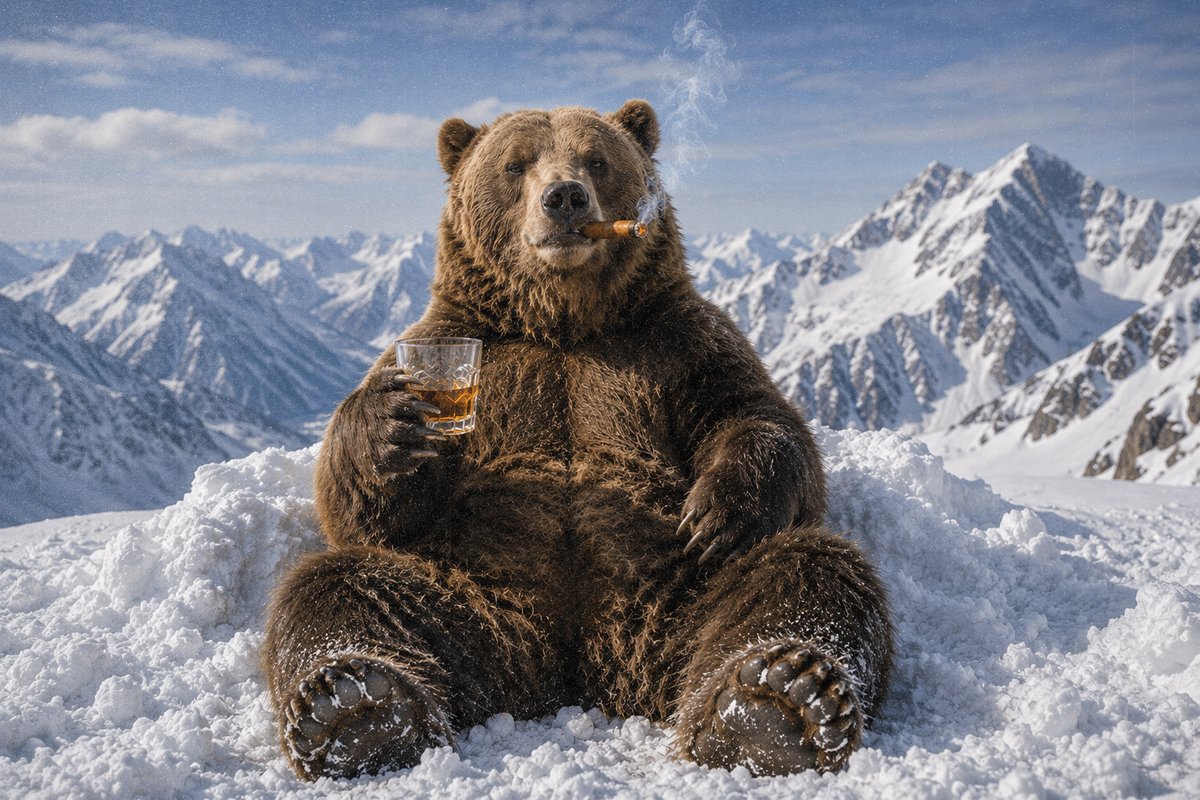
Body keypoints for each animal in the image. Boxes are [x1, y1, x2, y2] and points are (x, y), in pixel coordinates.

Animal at [262, 99, 894, 781]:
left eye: (596, 158)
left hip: (677, 590)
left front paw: (721, 508)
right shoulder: (469, 346)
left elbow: (755, 416)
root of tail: (582, 669)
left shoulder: (676, 347)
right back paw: (352, 704)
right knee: (341, 587)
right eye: (517, 164)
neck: (563, 327)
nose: (564, 197)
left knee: (807, 570)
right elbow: (364, 518)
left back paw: (780, 699)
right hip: (468, 595)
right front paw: (390, 425)